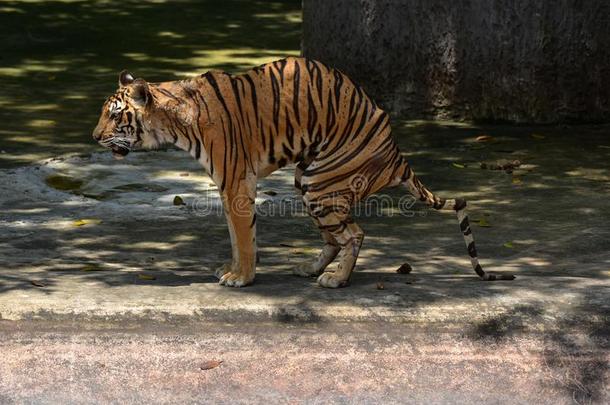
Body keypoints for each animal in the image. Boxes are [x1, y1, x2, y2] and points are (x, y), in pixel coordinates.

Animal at [92, 56, 512, 288]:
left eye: (115, 115)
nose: (94, 136)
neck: (174, 121)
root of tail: (396, 151)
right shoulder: (228, 187)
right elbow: (234, 236)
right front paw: (231, 269)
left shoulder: (235, 183)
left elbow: (244, 236)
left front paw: (242, 278)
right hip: (308, 181)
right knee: (336, 236)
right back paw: (310, 267)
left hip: (320, 184)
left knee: (355, 234)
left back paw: (335, 279)